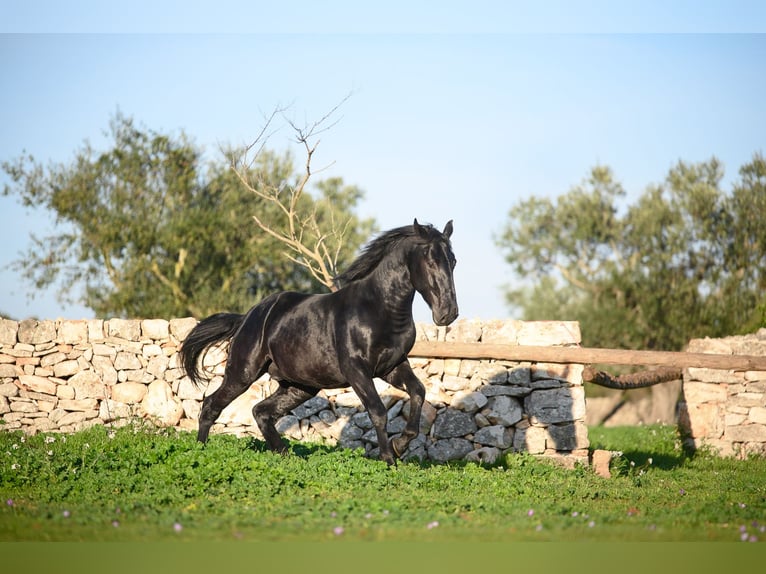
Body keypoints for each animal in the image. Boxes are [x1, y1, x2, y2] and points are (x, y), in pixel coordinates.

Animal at [179, 219, 458, 465]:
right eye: (431, 260)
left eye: (453, 261)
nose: (448, 313)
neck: (378, 309)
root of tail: (248, 316)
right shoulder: (357, 370)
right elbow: (378, 411)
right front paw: (389, 459)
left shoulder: (393, 367)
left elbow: (418, 393)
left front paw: (399, 446)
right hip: (243, 373)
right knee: (212, 405)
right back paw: (200, 451)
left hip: (299, 386)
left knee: (261, 412)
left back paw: (286, 455)